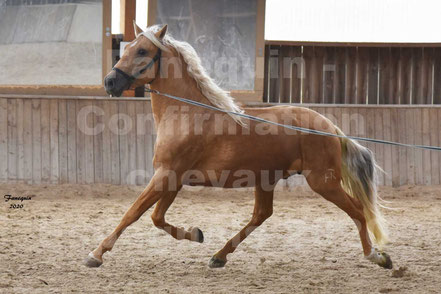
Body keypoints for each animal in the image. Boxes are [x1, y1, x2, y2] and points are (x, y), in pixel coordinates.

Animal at [84, 23, 390, 268]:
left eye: (143, 51)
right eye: (128, 47)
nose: (110, 82)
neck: (187, 114)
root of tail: (330, 127)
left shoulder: (166, 175)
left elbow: (133, 213)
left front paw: (96, 254)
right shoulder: (172, 178)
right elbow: (156, 218)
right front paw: (196, 234)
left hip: (322, 181)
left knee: (357, 210)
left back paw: (376, 256)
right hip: (267, 180)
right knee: (261, 215)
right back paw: (219, 256)